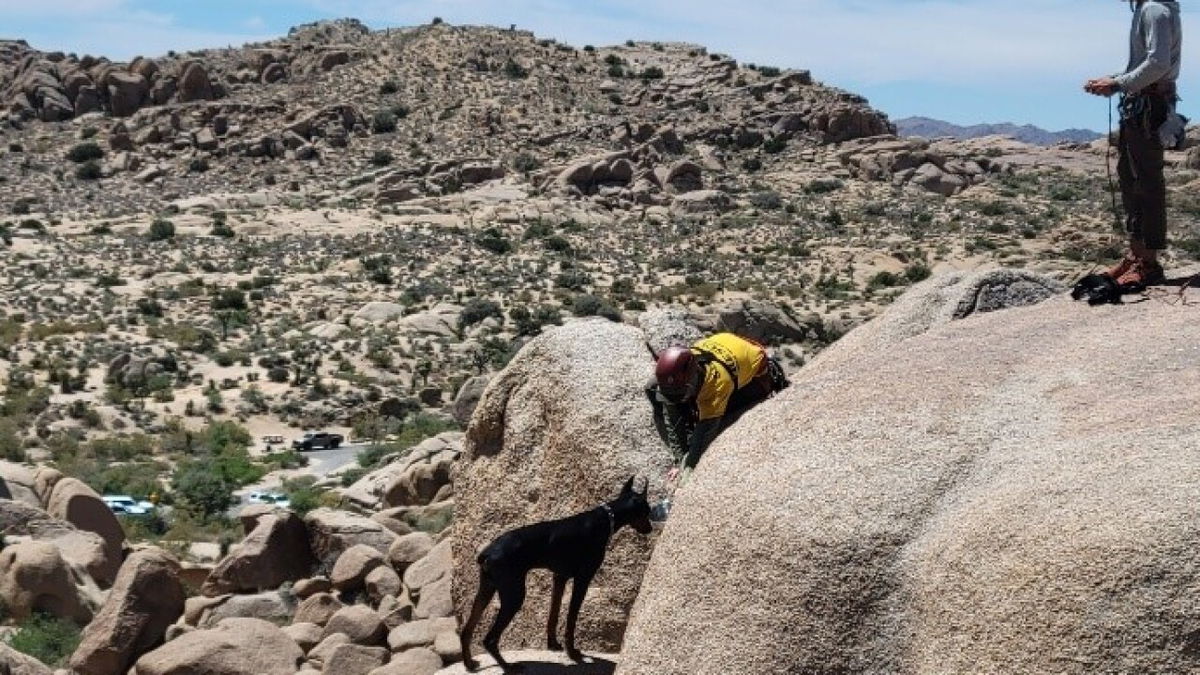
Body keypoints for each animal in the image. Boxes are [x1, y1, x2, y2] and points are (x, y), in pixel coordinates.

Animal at [458, 475, 652, 667]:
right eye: (648, 511)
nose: (650, 529)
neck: (606, 517)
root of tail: (488, 552)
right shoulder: (583, 579)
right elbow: (571, 619)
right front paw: (573, 653)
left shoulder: (560, 577)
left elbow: (554, 614)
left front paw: (553, 644)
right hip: (514, 595)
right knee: (489, 639)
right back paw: (508, 666)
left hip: (487, 589)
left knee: (466, 630)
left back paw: (469, 663)